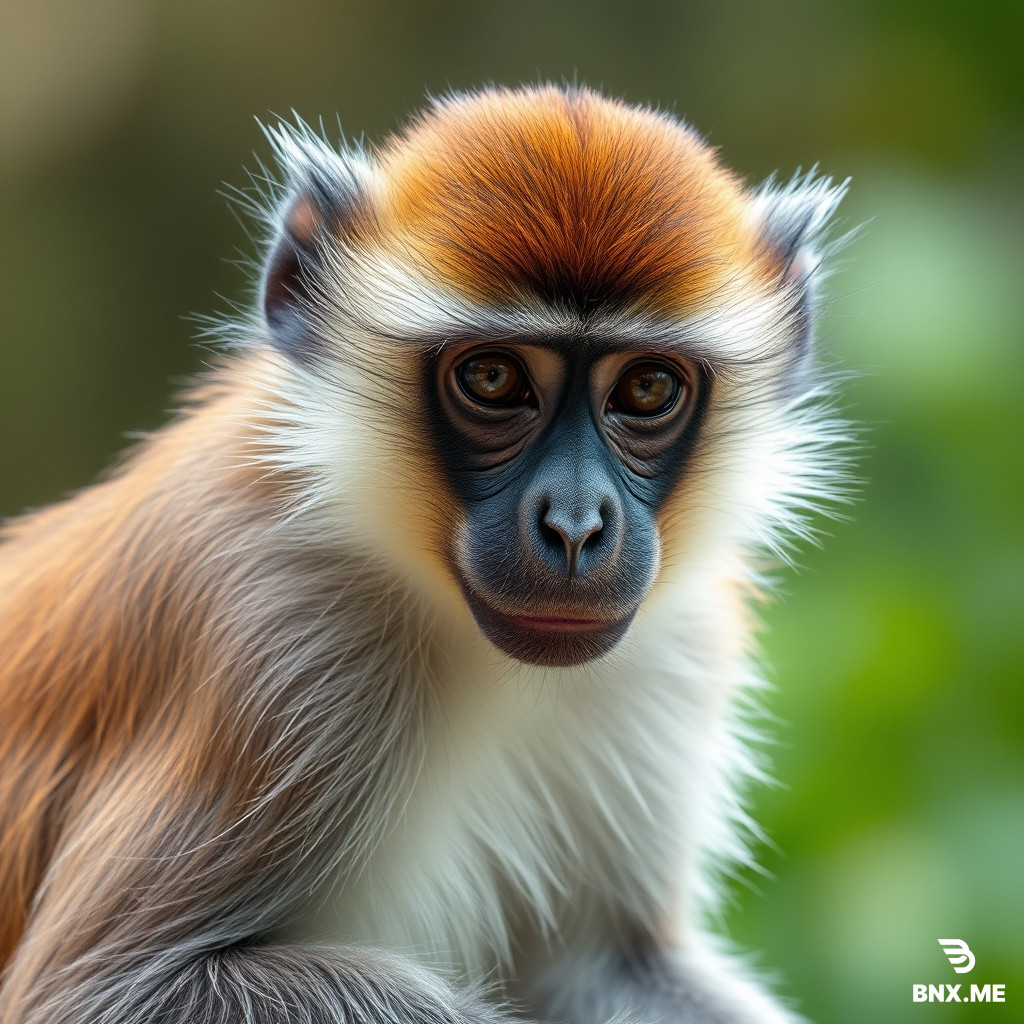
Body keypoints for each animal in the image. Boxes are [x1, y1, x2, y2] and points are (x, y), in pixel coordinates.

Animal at [0, 85, 850, 1024]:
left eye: (646, 388)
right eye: (493, 379)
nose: (575, 526)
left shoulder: (679, 645)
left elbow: (607, 963)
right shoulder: (279, 637)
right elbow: (102, 991)